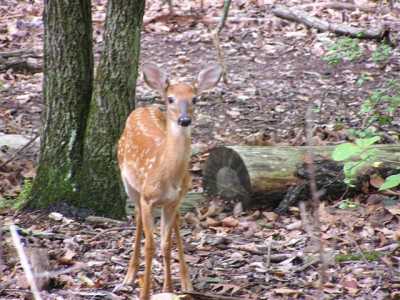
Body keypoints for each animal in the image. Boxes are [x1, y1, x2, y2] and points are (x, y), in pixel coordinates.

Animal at [116, 62, 222, 298]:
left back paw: (185, 282)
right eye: (171, 99)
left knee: (174, 226)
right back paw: (129, 276)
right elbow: (151, 246)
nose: (184, 120)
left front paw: (169, 288)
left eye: (195, 99)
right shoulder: (148, 198)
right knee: (138, 219)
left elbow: (165, 243)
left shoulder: (174, 200)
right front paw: (145, 292)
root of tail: (142, 108)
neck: (165, 175)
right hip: (129, 183)